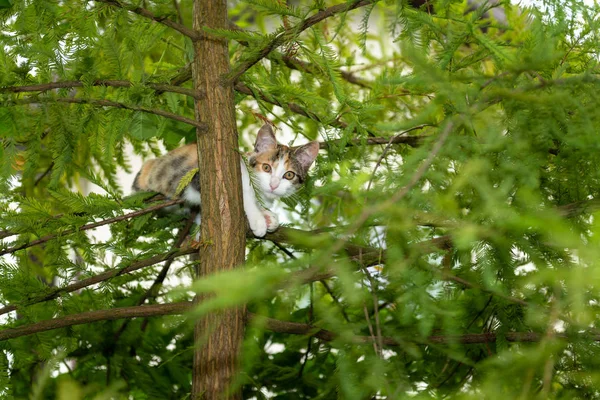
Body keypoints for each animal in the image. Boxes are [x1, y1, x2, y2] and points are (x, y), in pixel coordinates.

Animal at [131, 124, 318, 238]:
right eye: (266, 167)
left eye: (289, 175)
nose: (273, 185)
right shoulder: (196, 178)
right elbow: (243, 195)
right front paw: (258, 218)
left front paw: (269, 216)